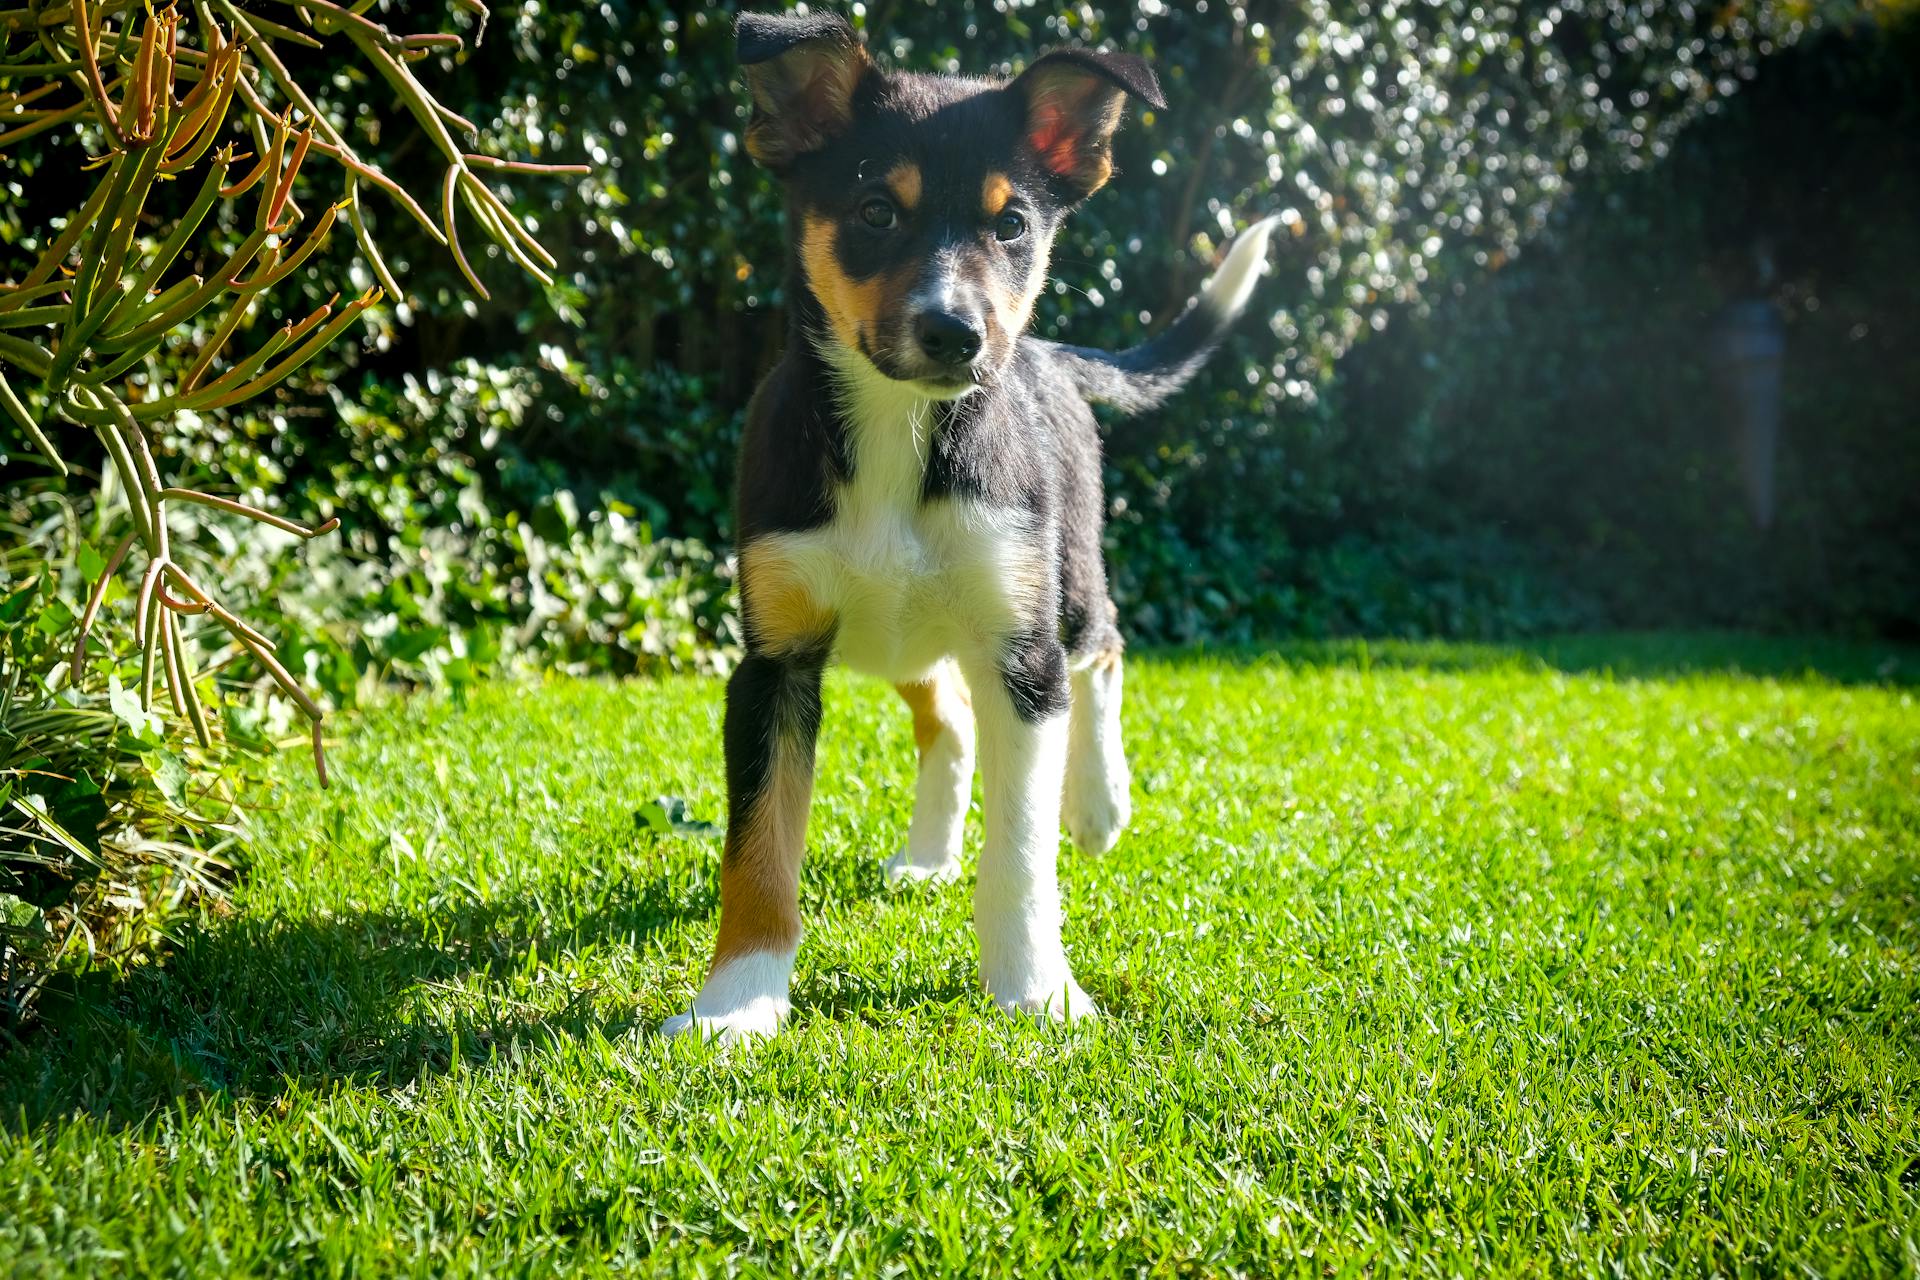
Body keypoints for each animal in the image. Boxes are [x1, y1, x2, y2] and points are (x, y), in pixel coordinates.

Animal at [660, 14, 1274, 1043]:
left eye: (1012, 224)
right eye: (875, 211)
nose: (956, 334)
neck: (900, 435)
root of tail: (1053, 352)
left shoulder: (1021, 658)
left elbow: (1022, 851)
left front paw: (1038, 991)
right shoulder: (775, 660)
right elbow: (758, 851)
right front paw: (737, 1005)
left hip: (1067, 578)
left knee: (1104, 648)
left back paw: (1099, 802)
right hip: (899, 634)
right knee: (944, 714)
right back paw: (928, 856)